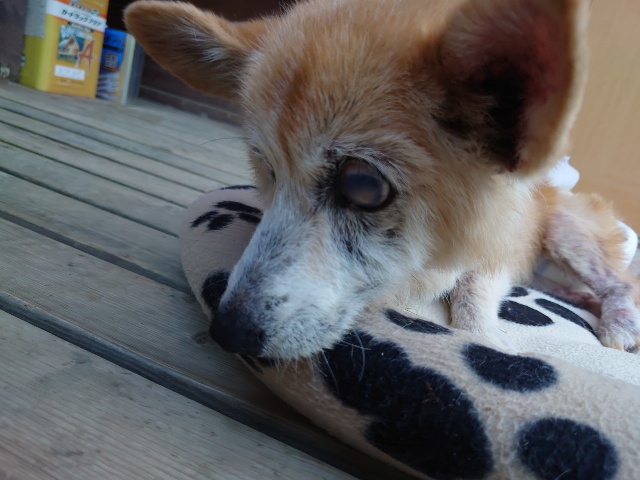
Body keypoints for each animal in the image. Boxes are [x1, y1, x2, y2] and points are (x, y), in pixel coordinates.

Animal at [126, 0, 640, 359]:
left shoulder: (501, 247)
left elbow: (472, 298)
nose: (226, 332)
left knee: (621, 282)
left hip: (566, 232)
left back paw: (618, 322)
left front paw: (486, 340)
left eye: (364, 187)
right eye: (266, 168)